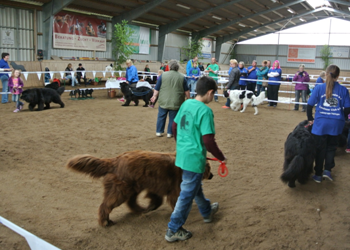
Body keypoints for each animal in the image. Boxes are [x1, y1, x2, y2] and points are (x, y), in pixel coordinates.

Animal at [66, 150, 213, 227]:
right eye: (209, 168)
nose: (212, 175)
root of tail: (115, 161)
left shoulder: (156, 187)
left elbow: (157, 200)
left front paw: (151, 207)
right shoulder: (174, 190)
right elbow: (175, 203)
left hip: (132, 188)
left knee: (130, 202)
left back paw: (140, 210)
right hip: (120, 191)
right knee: (105, 206)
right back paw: (105, 221)